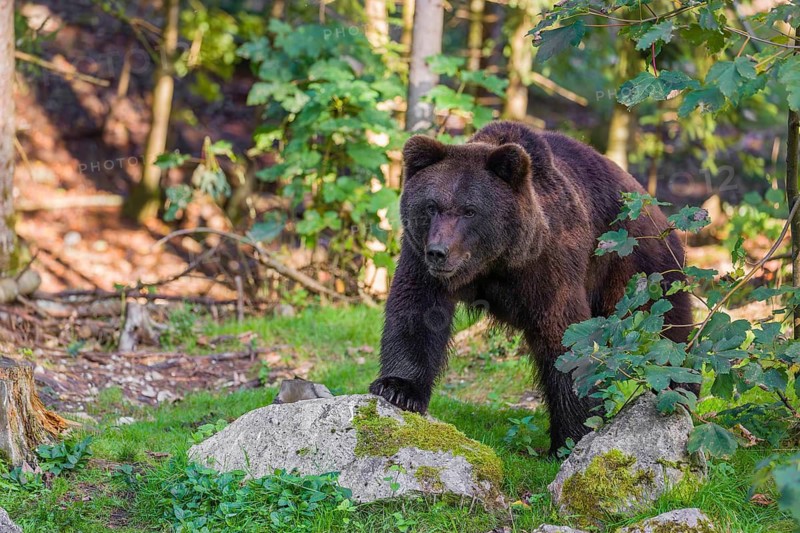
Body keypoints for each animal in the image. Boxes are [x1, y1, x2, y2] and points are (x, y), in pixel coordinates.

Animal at [368, 120, 693, 454]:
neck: (495, 262)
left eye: (469, 210)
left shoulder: (548, 263)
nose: (439, 251)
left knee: (666, 331)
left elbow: (565, 337)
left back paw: (680, 394)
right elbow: (417, 311)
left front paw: (573, 435)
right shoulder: (420, 257)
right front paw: (398, 389)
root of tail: (651, 202)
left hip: (638, 265)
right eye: (431, 206)